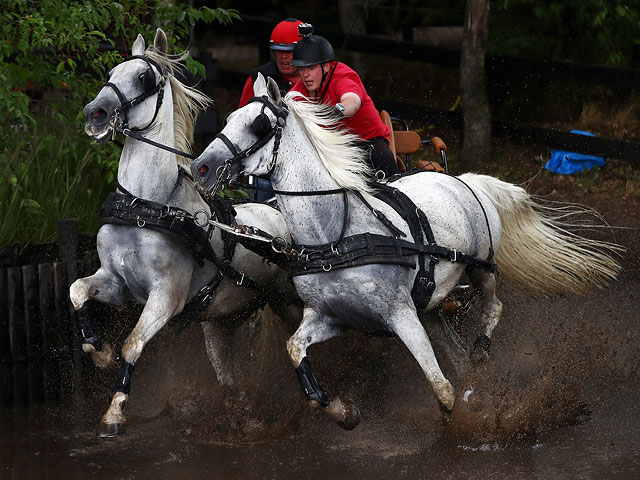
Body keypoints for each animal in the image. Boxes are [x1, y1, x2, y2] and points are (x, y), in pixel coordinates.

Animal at [71, 29, 292, 436]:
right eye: (111, 71)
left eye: (144, 77)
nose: (94, 114)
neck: (146, 205)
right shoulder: (115, 282)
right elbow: (77, 290)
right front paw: (99, 352)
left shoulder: (166, 296)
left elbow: (133, 344)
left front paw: (115, 409)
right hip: (223, 320)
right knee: (227, 375)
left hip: (287, 301)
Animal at [189, 76, 620, 432]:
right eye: (228, 117)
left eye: (258, 125)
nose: (200, 168)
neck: (336, 237)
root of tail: (462, 179)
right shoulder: (333, 317)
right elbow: (297, 353)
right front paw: (343, 412)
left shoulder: (400, 315)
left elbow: (441, 388)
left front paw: (466, 427)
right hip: (430, 307)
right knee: (455, 348)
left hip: (481, 268)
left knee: (492, 308)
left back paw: (482, 353)